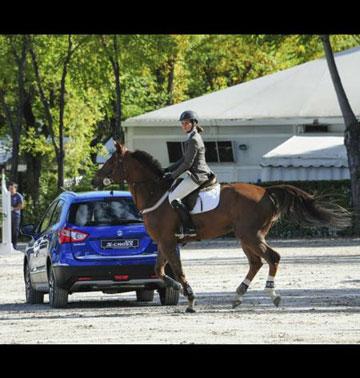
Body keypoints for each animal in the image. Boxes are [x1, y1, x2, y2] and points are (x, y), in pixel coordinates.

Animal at [91, 142, 350, 314]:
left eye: (112, 162)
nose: (94, 180)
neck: (155, 192)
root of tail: (266, 191)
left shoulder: (167, 241)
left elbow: (176, 270)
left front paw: (190, 298)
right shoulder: (163, 242)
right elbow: (160, 271)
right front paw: (178, 288)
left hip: (251, 236)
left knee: (272, 258)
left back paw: (272, 294)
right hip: (245, 237)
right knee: (256, 262)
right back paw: (238, 296)